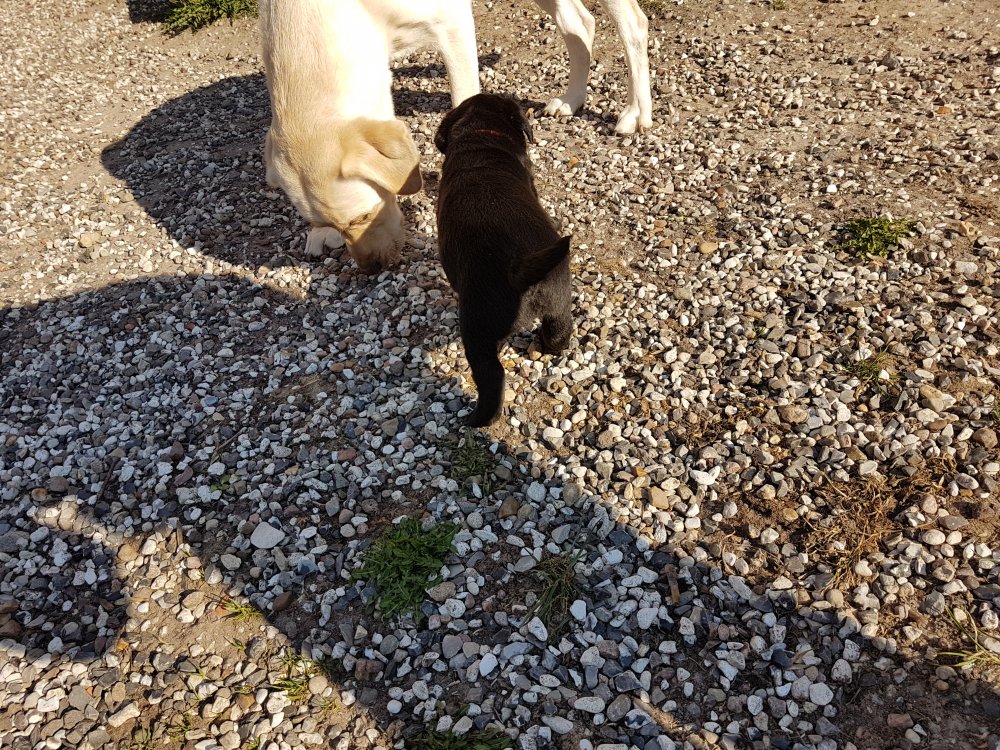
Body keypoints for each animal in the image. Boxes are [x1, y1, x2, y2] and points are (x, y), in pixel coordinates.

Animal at [259, 0, 652, 271]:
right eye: (334, 223)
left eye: (362, 217)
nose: (372, 269)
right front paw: (321, 236)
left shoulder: (452, 24)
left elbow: (465, 98)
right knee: (579, 23)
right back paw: (572, 99)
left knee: (633, 23)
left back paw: (636, 112)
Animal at [434, 94, 573, 427]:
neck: (481, 135)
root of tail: (518, 268)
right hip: (559, 298)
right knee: (559, 333)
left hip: (476, 331)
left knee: (492, 380)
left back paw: (475, 420)